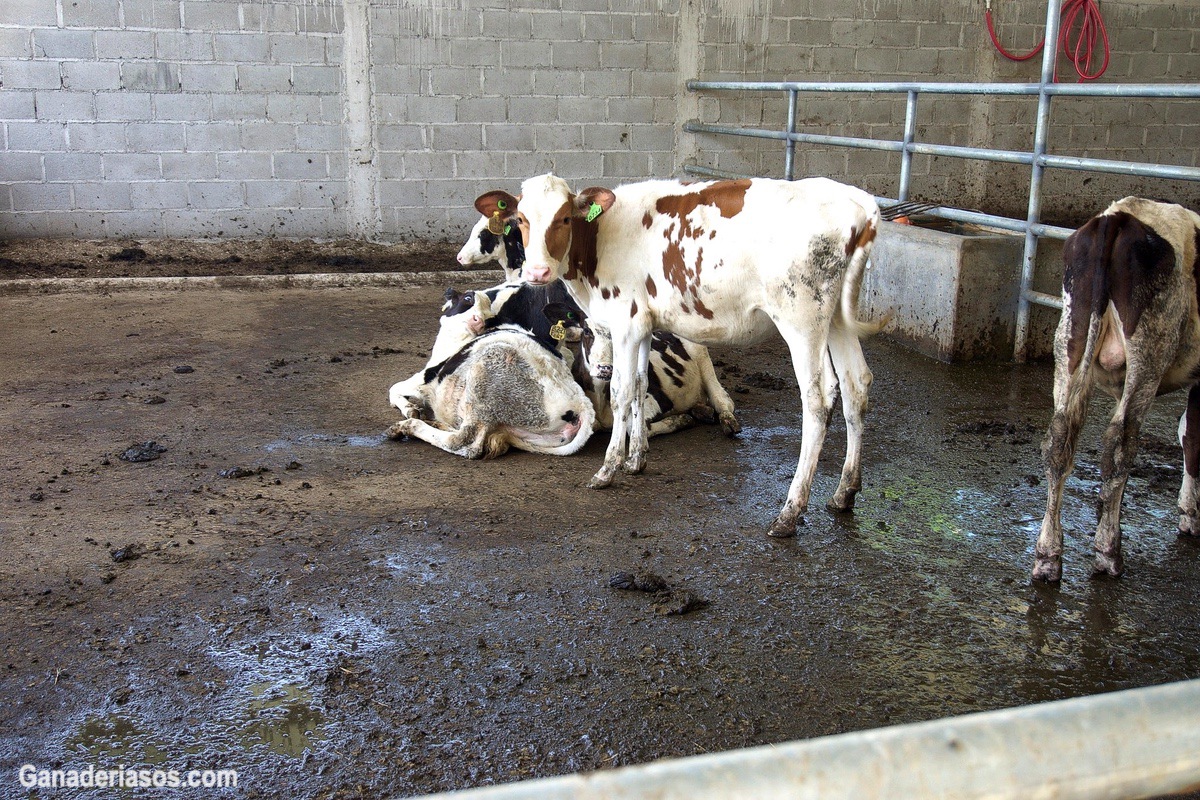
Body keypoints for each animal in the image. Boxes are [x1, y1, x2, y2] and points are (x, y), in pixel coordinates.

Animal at [477, 175, 883, 537]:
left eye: (564, 218)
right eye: (521, 220)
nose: (537, 271)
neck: (600, 238)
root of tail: (858, 201)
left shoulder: (625, 322)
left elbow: (622, 392)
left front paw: (608, 469)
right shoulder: (643, 324)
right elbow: (641, 384)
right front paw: (636, 459)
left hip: (802, 318)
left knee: (818, 399)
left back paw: (790, 512)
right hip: (837, 319)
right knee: (857, 384)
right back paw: (844, 492)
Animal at [1032, 194, 1200, 582]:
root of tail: (1119, 216)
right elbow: (1193, 435)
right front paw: (1190, 514)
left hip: (1069, 342)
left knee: (1059, 441)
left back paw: (1048, 556)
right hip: (1149, 353)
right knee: (1120, 444)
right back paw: (1108, 551)